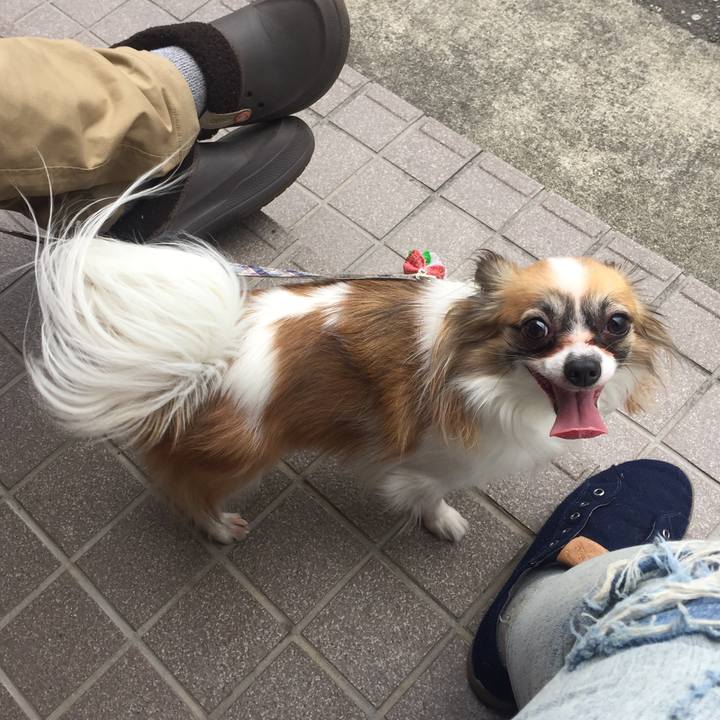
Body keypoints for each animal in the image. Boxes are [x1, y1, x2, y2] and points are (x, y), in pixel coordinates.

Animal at [29, 195, 675, 545]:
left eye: (616, 325)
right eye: (536, 329)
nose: (585, 367)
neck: (486, 378)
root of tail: (202, 352)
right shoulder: (434, 462)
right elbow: (429, 493)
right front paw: (441, 520)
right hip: (240, 460)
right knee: (185, 491)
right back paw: (219, 527)